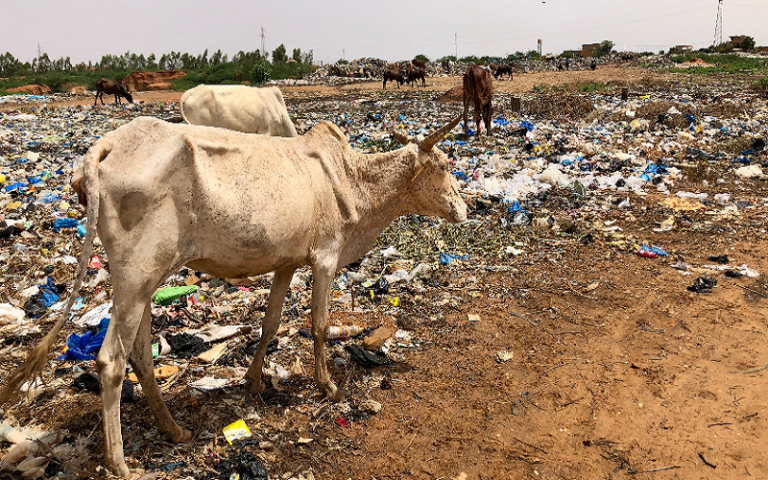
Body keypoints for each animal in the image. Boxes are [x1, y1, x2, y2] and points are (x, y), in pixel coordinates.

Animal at [1, 114, 468, 478]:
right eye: (445, 165)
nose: (465, 210)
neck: (354, 180)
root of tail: (103, 147)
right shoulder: (325, 257)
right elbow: (318, 325)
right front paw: (328, 386)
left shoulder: (287, 262)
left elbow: (271, 323)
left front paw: (253, 382)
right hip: (137, 274)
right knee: (111, 360)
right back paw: (121, 463)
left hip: (141, 280)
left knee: (141, 355)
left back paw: (173, 430)